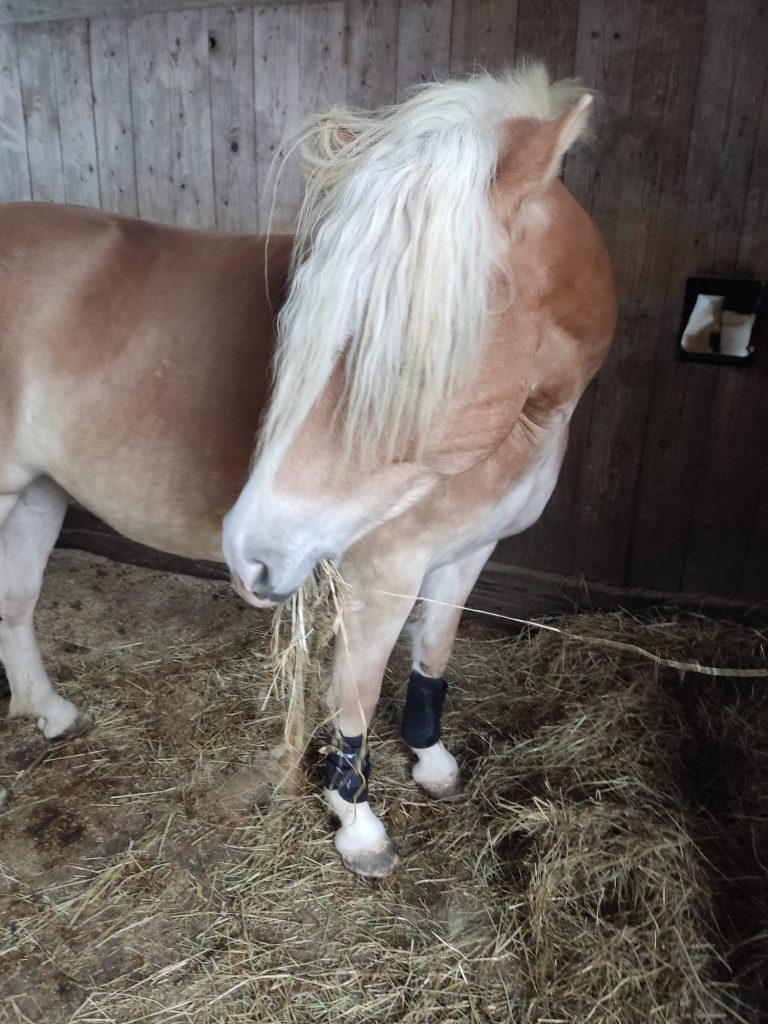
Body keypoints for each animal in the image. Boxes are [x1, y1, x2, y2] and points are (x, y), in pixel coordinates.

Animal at [0, 64, 615, 876]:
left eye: (402, 356)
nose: (246, 555)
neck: (523, 426)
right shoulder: (379, 576)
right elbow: (354, 697)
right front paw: (357, 826)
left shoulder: (466, 557)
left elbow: (434, 657)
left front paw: (432, 762)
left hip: (38, 494)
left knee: (16, 604)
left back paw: (51, 713)